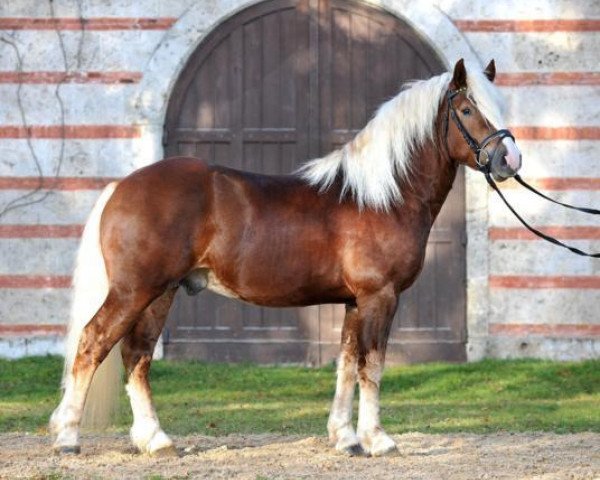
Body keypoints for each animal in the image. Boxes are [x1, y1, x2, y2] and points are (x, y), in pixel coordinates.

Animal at [50, 60, 520, 458]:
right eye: (466, 109)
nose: (509, 159)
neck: (380, 196)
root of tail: (121, 186)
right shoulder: (379, 297)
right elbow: (372, 367)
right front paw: (378, 440)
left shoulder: (353, 303)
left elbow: (346, 366)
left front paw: (345, 439)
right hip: (134, 291)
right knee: (92, 343)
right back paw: (69, 438)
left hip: (160, 294)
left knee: (137, 355)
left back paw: (156, 440)